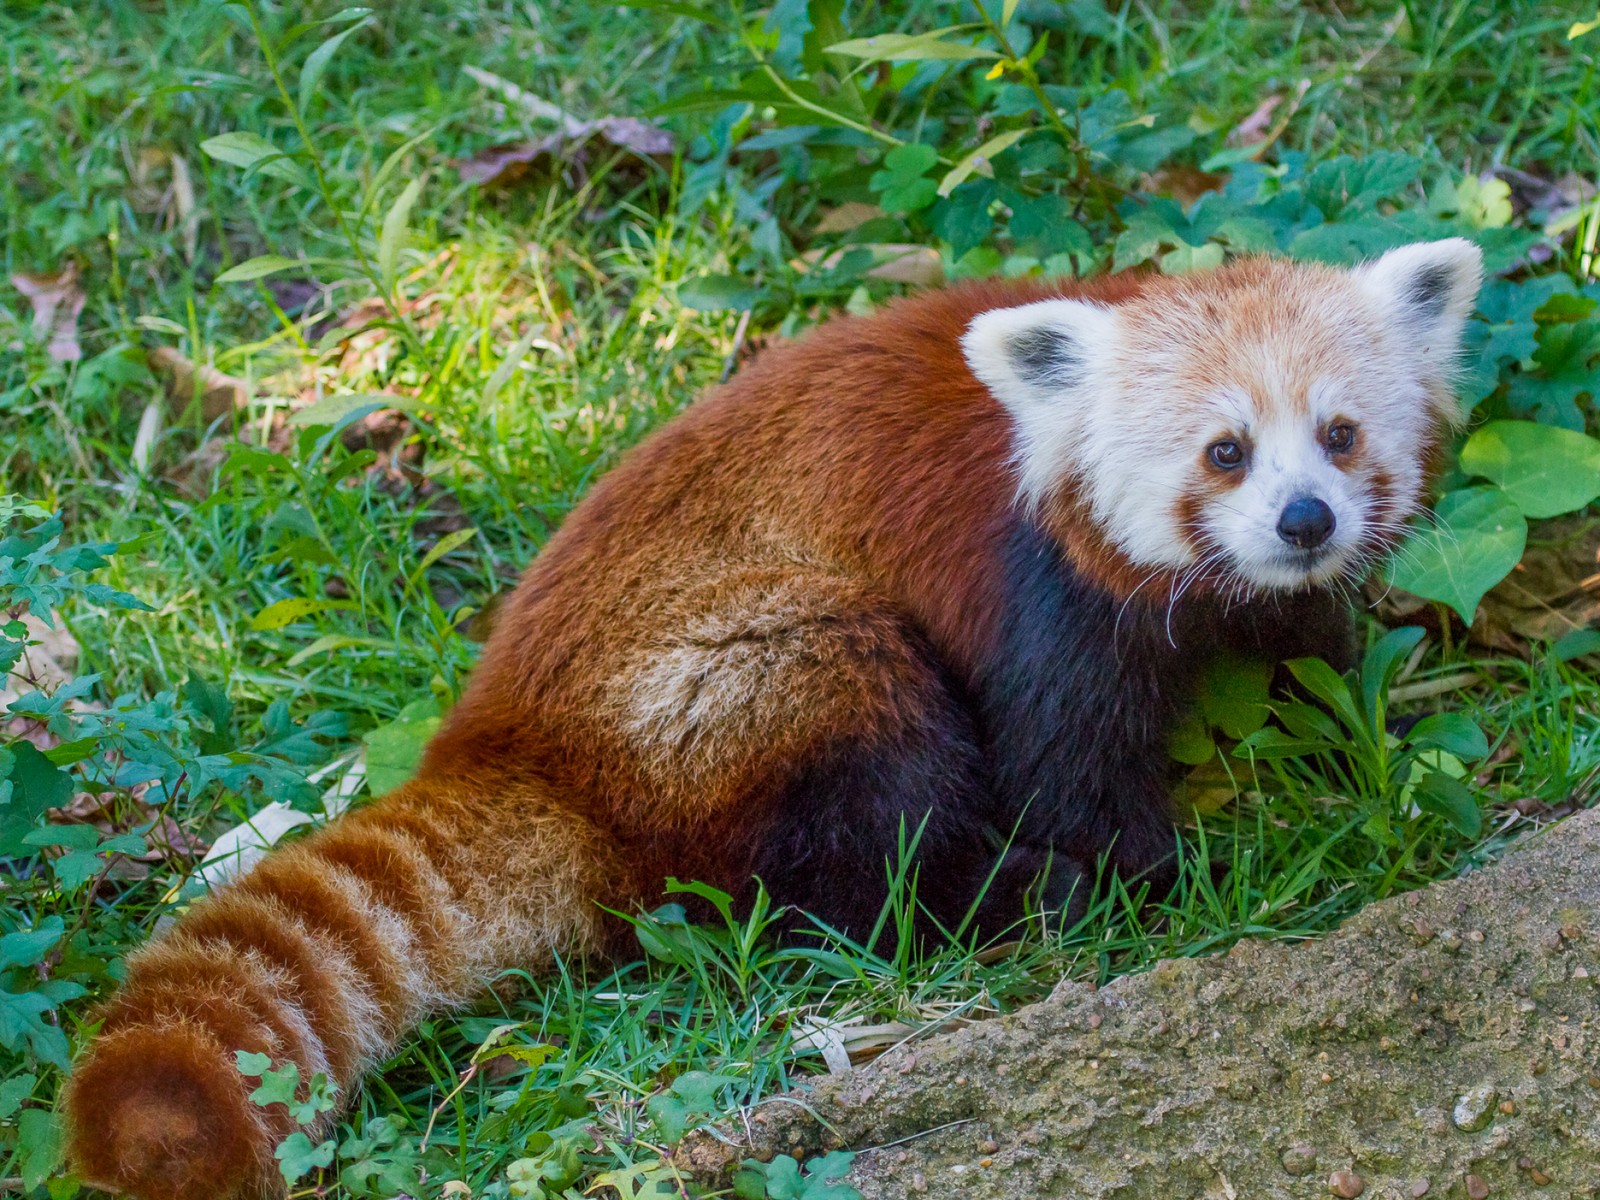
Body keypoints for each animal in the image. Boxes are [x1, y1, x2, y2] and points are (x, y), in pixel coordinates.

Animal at [68, 240, 1478, 1196]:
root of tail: (512, 739)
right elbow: (1065, 763)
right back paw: (1006, 897)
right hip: (757, 669)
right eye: (1224, 451)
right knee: (843, 842)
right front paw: (1163, 874)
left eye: (1339, 436)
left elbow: (1305, 662)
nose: (1304, 521)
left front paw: (1359, 758)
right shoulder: (1033, 589)